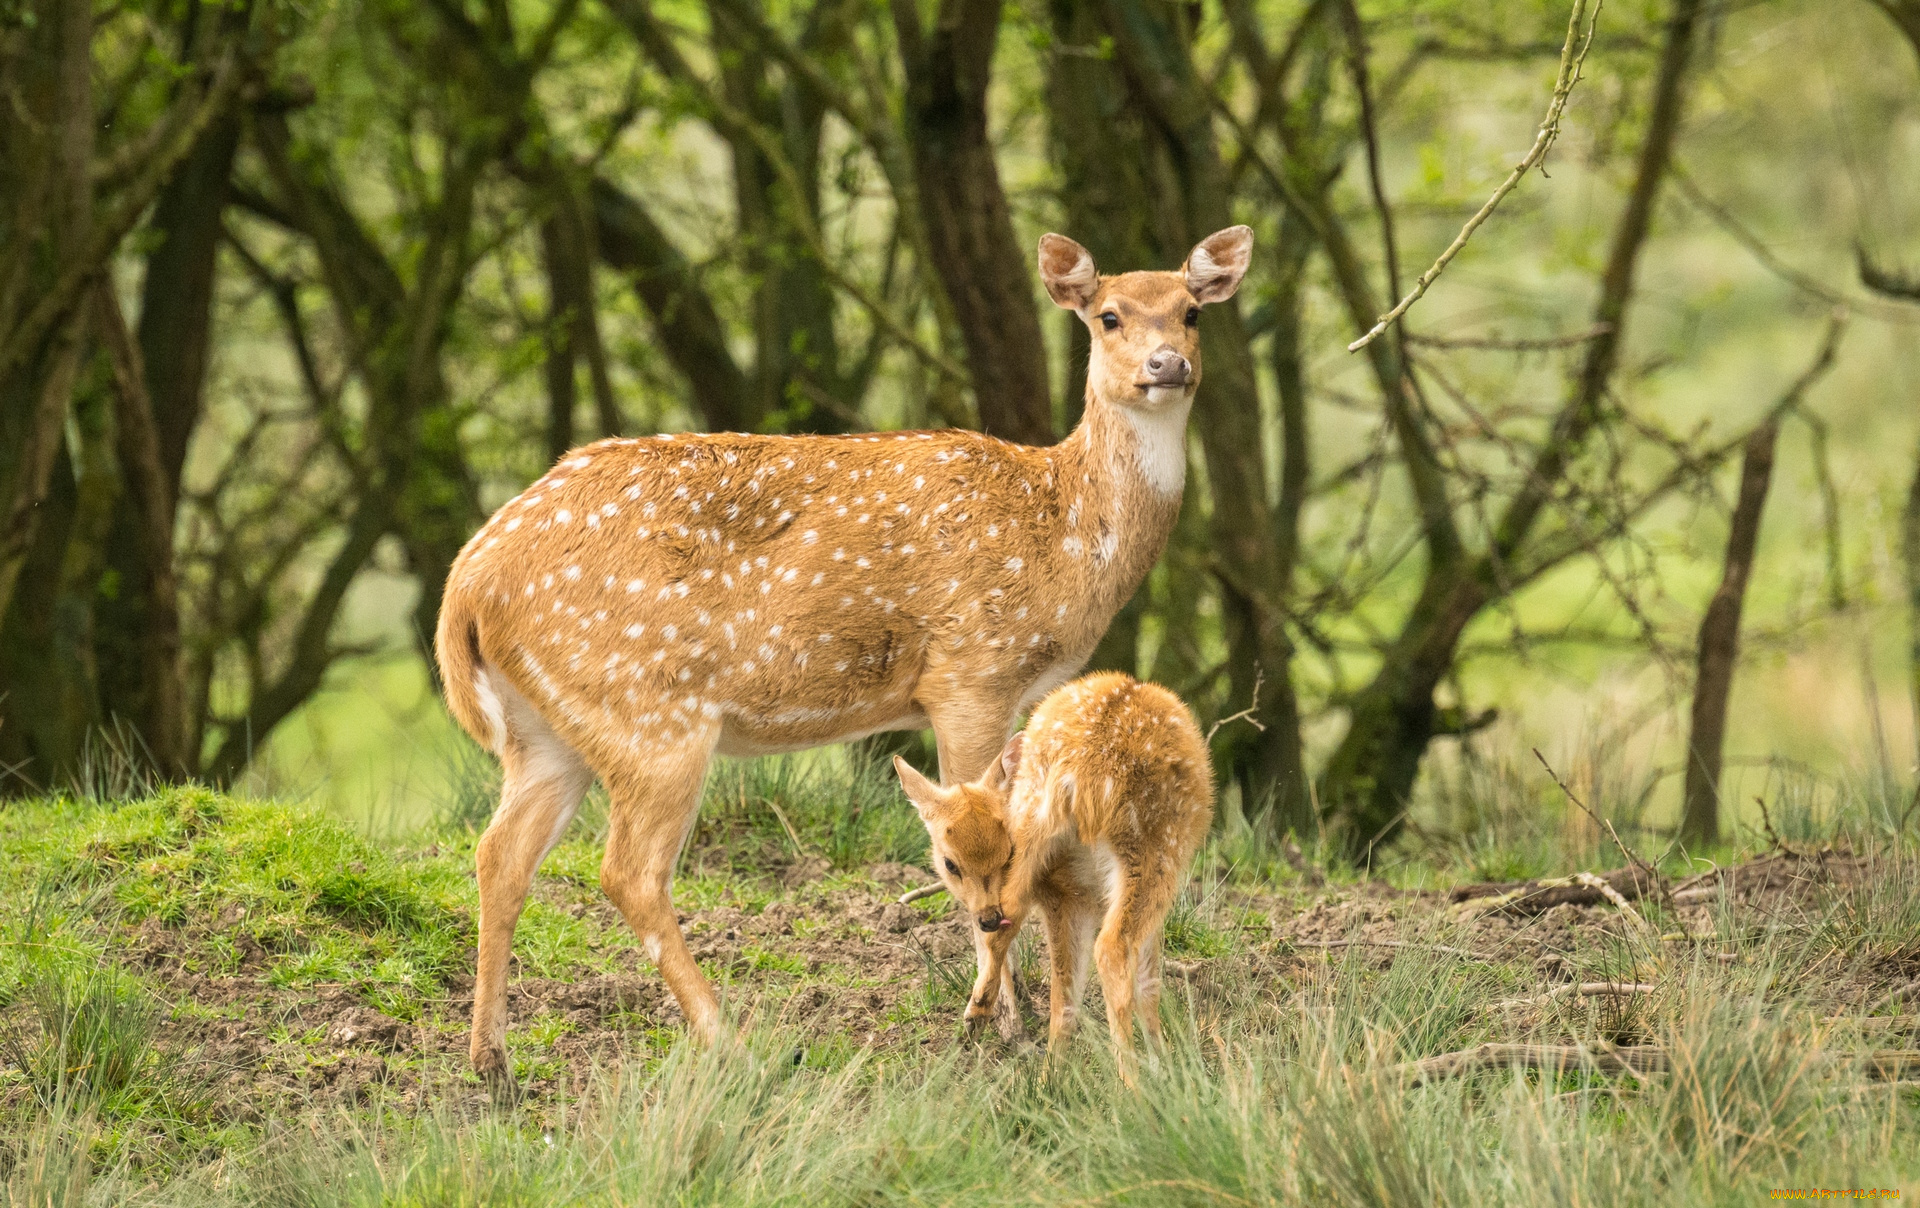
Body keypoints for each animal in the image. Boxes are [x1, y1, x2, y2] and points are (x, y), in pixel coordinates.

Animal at [432, 223, 1259, 1090]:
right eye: (1107, 316)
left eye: (1193, 311)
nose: (1166, 365)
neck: (1064, 537)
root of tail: (469, 582)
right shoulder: (971, 670)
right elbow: (979, 836)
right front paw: (997, 1020)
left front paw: (1009, 1012)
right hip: (651, 712)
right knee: (628, 872)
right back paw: (731, 1042)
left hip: (550, 730)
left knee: (500, 855)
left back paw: (490, 1060)